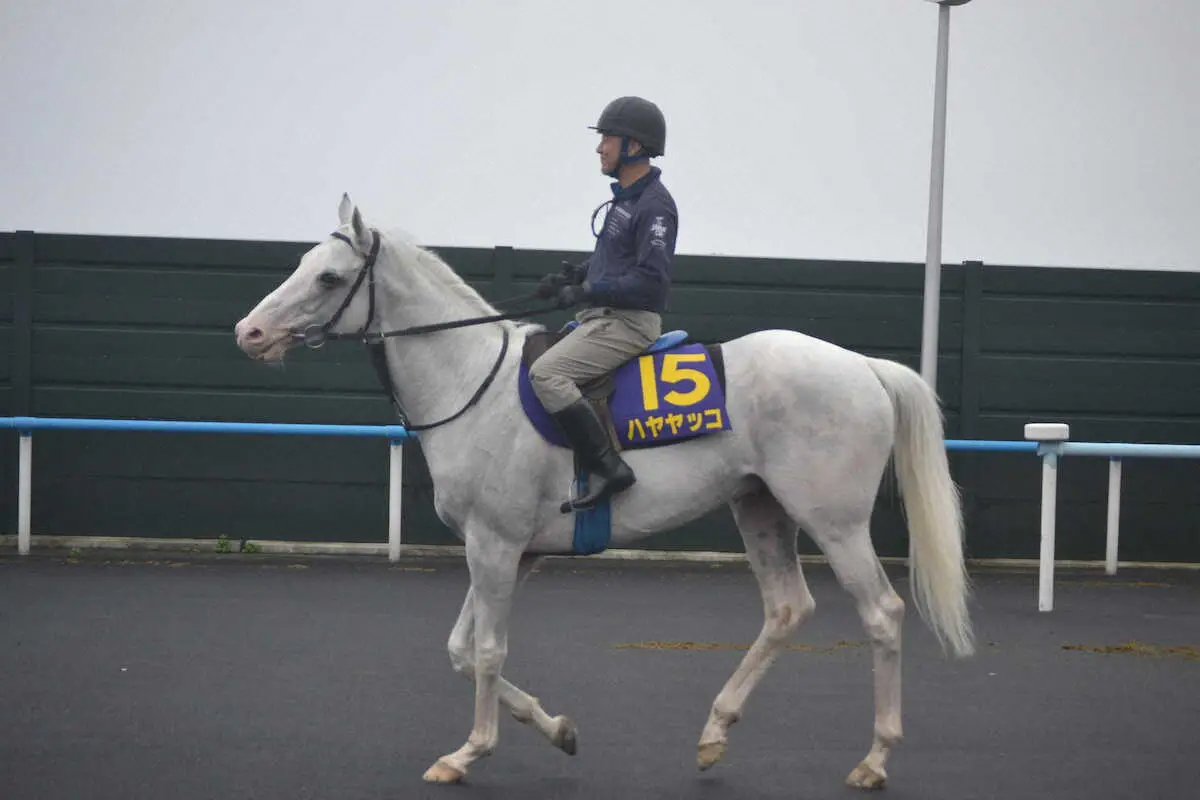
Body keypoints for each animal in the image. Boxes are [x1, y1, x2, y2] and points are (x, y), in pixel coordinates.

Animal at [234, 195, 974, 796]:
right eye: (303, 262)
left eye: (329, 277)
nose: (249, 333)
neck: (473, 382)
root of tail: (865, 368)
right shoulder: (505, 551)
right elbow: (461, 650)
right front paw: (557, 728)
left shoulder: (495, 546)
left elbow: (487, 651)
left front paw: (470, 752)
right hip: (760, 509)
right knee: (788, 609)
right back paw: (715, 732)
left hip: (835, 522)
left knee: (881, 614)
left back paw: (874, 759)